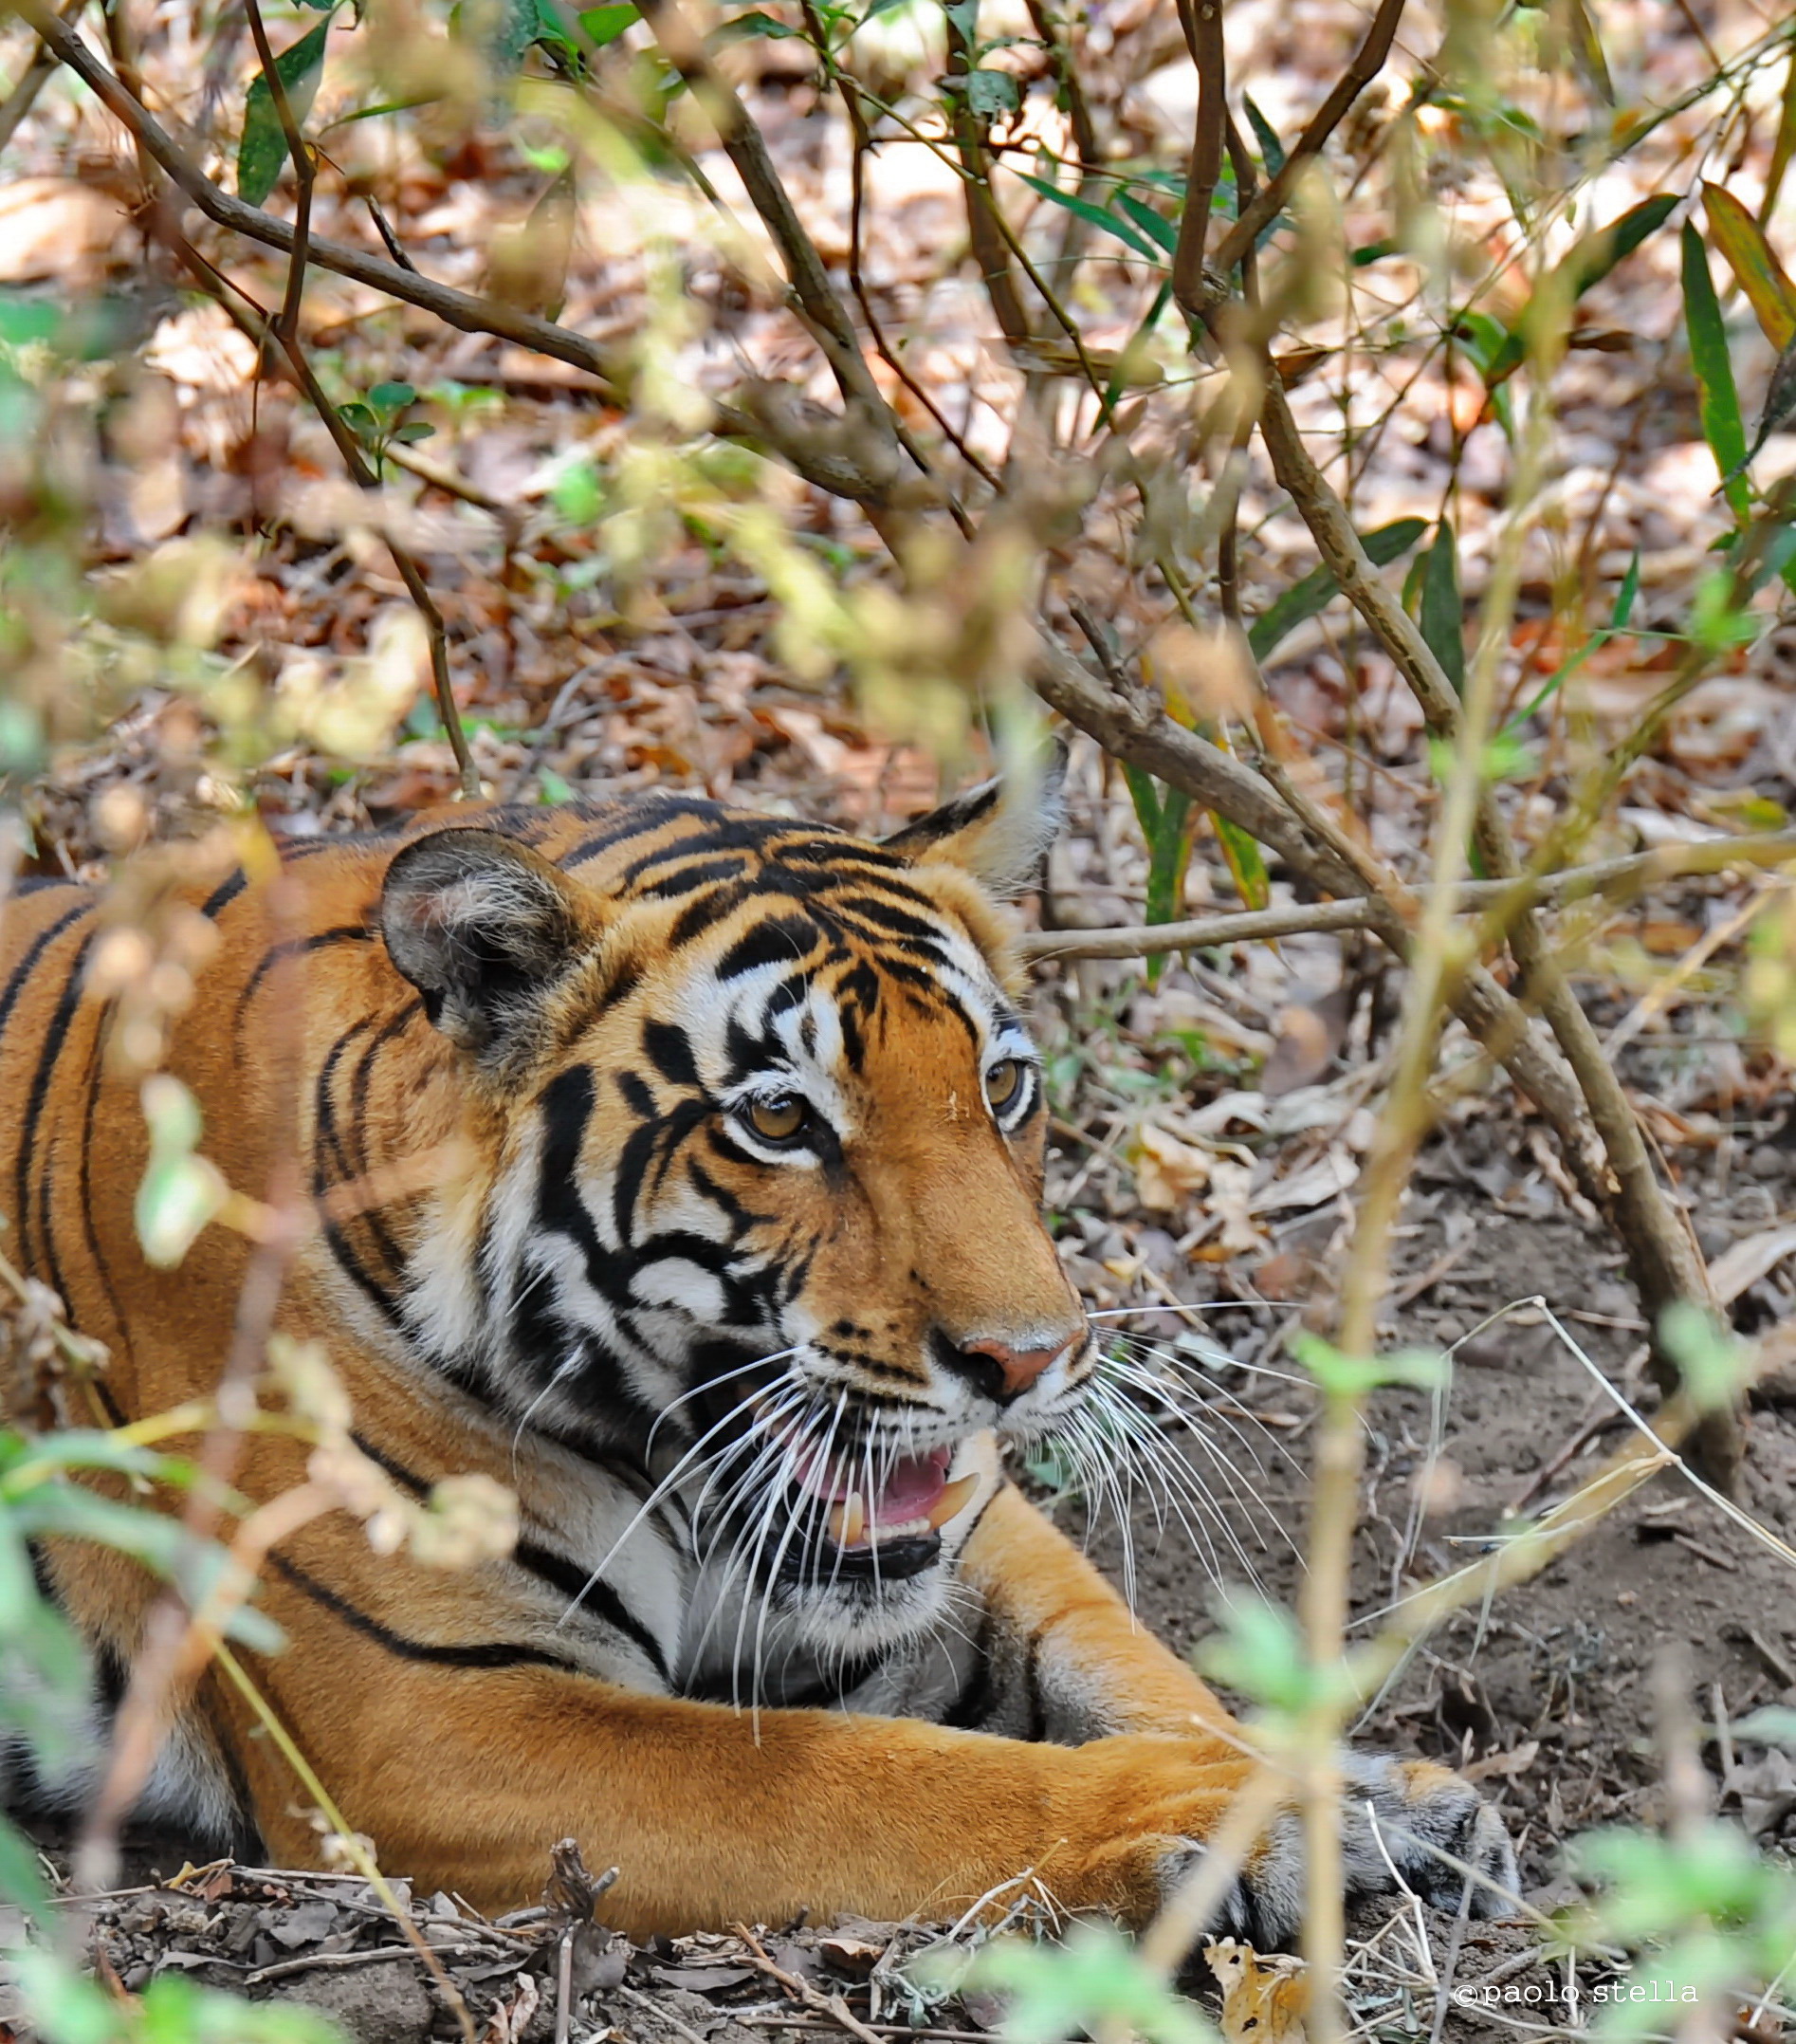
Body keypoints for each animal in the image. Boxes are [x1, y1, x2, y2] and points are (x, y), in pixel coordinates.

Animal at [0, 757, 1516, 1940]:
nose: (1032, 1361)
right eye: (781, 1119)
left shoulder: (973, 1527)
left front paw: (1370, 1798)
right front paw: (1244, 1819)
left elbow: (1133, 1663)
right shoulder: (428, 1716)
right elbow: (861, 1773)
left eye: (1001, 1084)